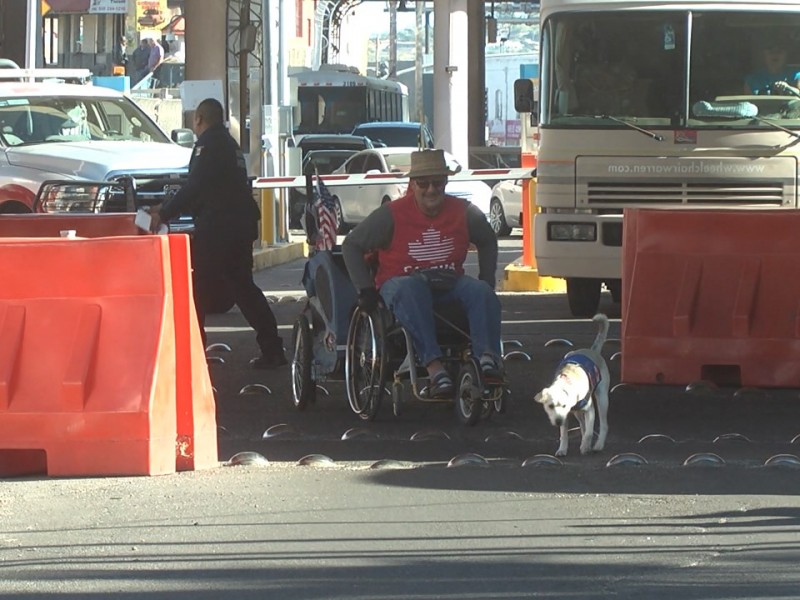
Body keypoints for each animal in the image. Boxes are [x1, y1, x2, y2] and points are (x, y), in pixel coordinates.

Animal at [536, 312, 608, 458]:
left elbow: (590, 432)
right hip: (577, 413)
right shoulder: (566, 416)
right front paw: (562, 449)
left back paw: (598, 445)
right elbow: (564, 434)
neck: (566, 382)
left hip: (602, 399)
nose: (558, 421)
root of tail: (593, 351)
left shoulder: (590, 410)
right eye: (550, 406)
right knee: (583, 425)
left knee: (603, 424)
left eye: (564, 405)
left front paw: (585, 447)